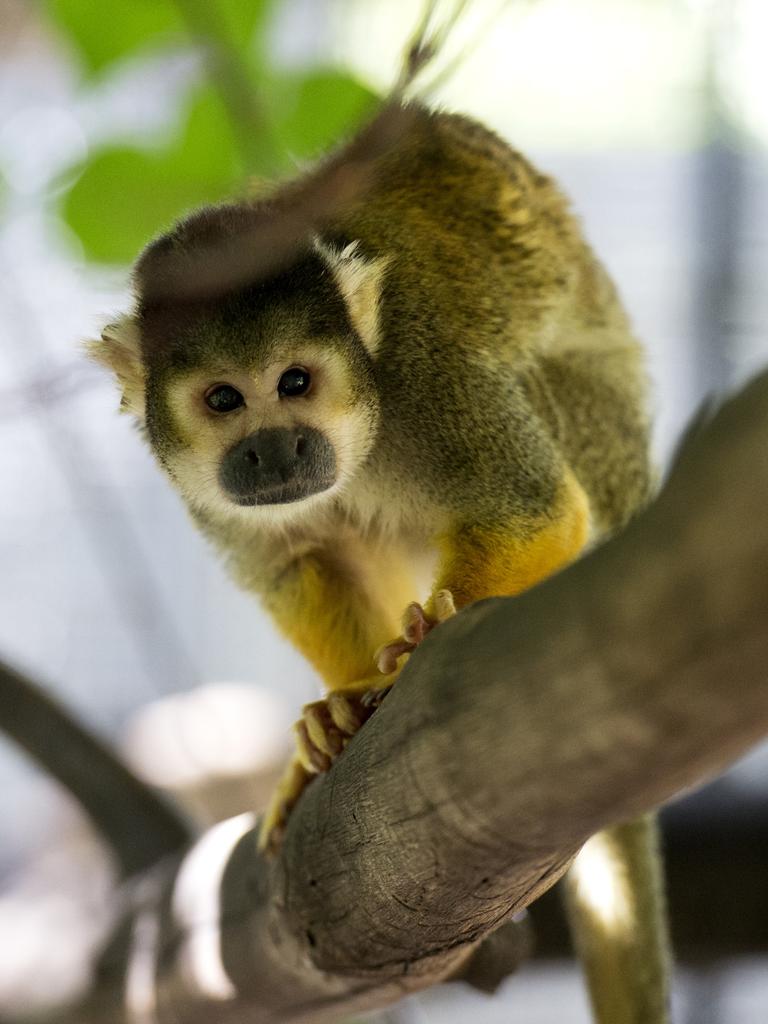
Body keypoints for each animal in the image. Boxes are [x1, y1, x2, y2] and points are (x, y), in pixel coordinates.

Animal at [88, 103, 667, 1024]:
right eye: (224, 399)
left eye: (295, 382)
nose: (274, 449)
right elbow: (299, 565)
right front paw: (334, 713)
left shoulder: (426, 373)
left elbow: (536, 509)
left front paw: (419, 643)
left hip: (608, 457)